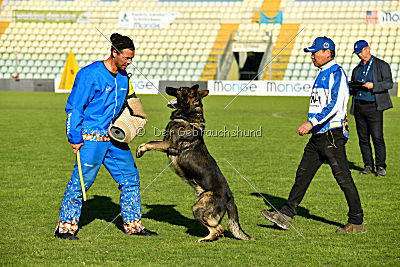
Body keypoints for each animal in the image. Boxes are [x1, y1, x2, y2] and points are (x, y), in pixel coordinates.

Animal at [136, 85, 252, 243]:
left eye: (179, 89)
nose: (166, 87)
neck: (188, 116)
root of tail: (230, 197)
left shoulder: (170, 144)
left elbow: (151, 143)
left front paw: (141, 149)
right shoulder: (166, 142)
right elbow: (152, 141)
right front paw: (139, 148)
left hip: (198, 208)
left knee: (219, 229)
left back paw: (204, 239)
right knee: (218, 229)